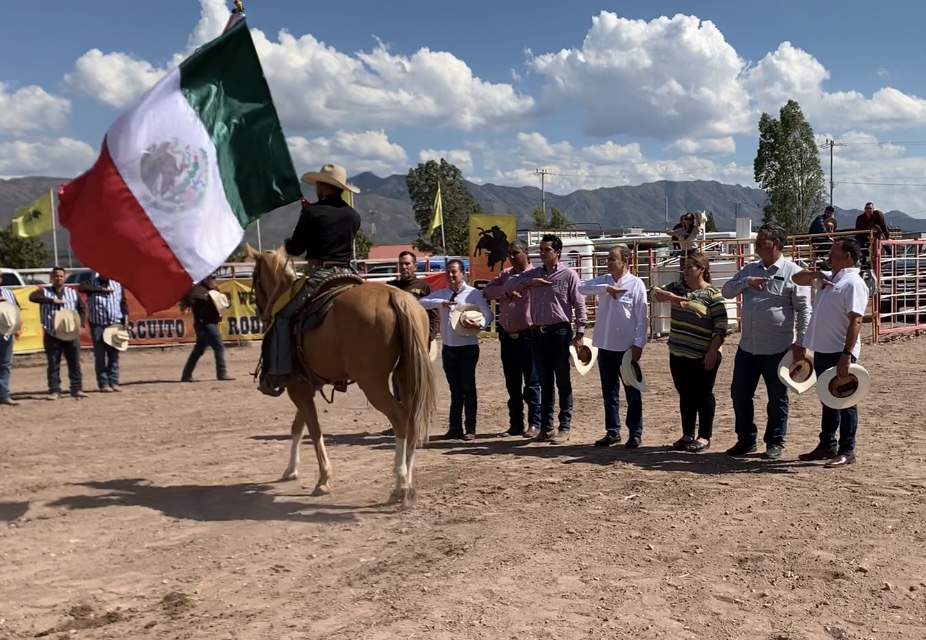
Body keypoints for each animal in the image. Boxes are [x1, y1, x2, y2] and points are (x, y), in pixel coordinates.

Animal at [245, 242, 436, 508]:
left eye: (255, 278)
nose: (262, 314)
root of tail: (395, 296)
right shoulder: (305, 385)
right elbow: (298, 426)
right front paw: (291, 470)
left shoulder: (296, 386)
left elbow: (313, 429)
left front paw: (323, 479)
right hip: (406, 375)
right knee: (412, 421)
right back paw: (408, 484)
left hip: (373, 383)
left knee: (400, 419)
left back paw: (400, 486)